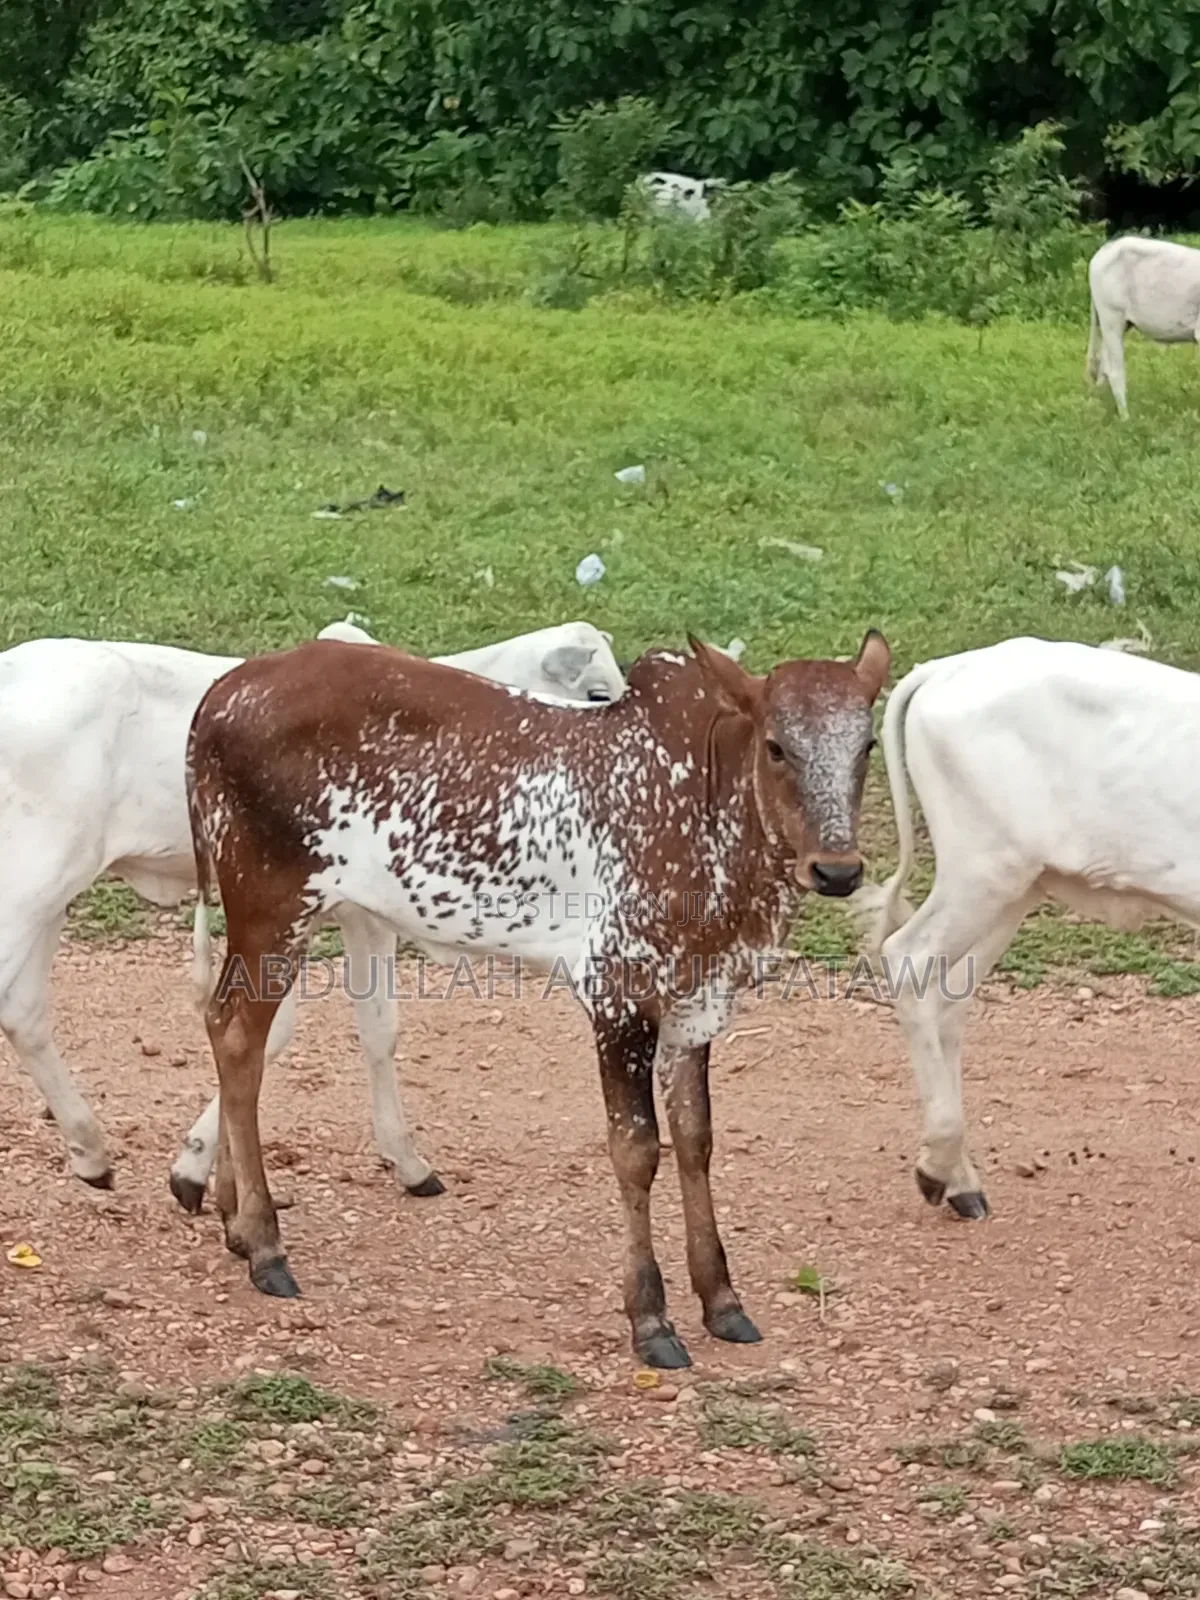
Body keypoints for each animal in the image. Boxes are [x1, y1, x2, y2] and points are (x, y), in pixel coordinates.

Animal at [0, 623, 623, 1197]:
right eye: (597, 692)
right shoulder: (357, 916)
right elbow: (353, 1031)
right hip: (33, 887)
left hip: (51, 896)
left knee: (24, 1011)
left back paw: (89, 1149)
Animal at [186, 629, 890, 1367]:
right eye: (777, 745)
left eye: (866, 744)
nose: (837, 869)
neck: (702, 802)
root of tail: (228, 689)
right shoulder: (618, 994)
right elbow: (636, 1150)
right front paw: (651, 1317)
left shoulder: (697, 1004)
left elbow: (695, 1140)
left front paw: (722, 1299)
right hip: (273, 908)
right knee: (238, 1038)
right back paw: (265, 1244)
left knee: (227, 1030)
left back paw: (236, 1223)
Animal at [858, 635, 1200, 1219]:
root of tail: (950, 666)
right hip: (980, 871)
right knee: (909, 958)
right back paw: (939, 1165)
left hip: (1013, 889)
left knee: (950, 996)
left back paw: (961, 1182)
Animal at [1087, 235, 1200, 419]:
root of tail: (1106, 249)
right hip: (1111, 317)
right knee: (1116, 372)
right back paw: (1126, 419)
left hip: (1114, 325)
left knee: (1103, 368)